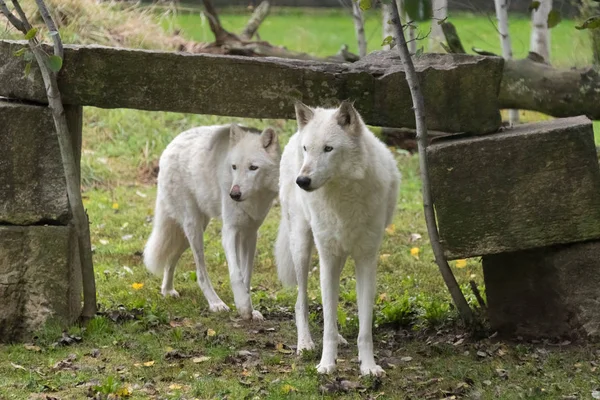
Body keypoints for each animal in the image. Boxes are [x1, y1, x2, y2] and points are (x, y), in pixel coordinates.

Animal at [144, 123, 280, 320]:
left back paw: (168, 290)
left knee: (171, 258)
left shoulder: (249, 234)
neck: (253, 198)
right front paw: (243, 306)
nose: (234, 194)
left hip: (193, 231)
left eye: (253, 167)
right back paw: (215, 303)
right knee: (200, 272)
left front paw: (249, 308)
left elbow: (246, 275)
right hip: (194, 228)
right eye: (234, 167)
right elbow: (236, 274)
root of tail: (171, 145)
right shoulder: (230, 230)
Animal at [276, 100, 398, 376]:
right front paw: (326, 364)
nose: (302, 181)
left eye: (328, 149)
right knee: (300, 303)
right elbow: (328, 324)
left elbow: (364, 328)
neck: (342, 198)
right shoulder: (327, 258)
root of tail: (294, 134)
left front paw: (368, 367)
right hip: (302, 248)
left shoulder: (366, 260)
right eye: (307, 149)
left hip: (339, 257)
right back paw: (305, 344)